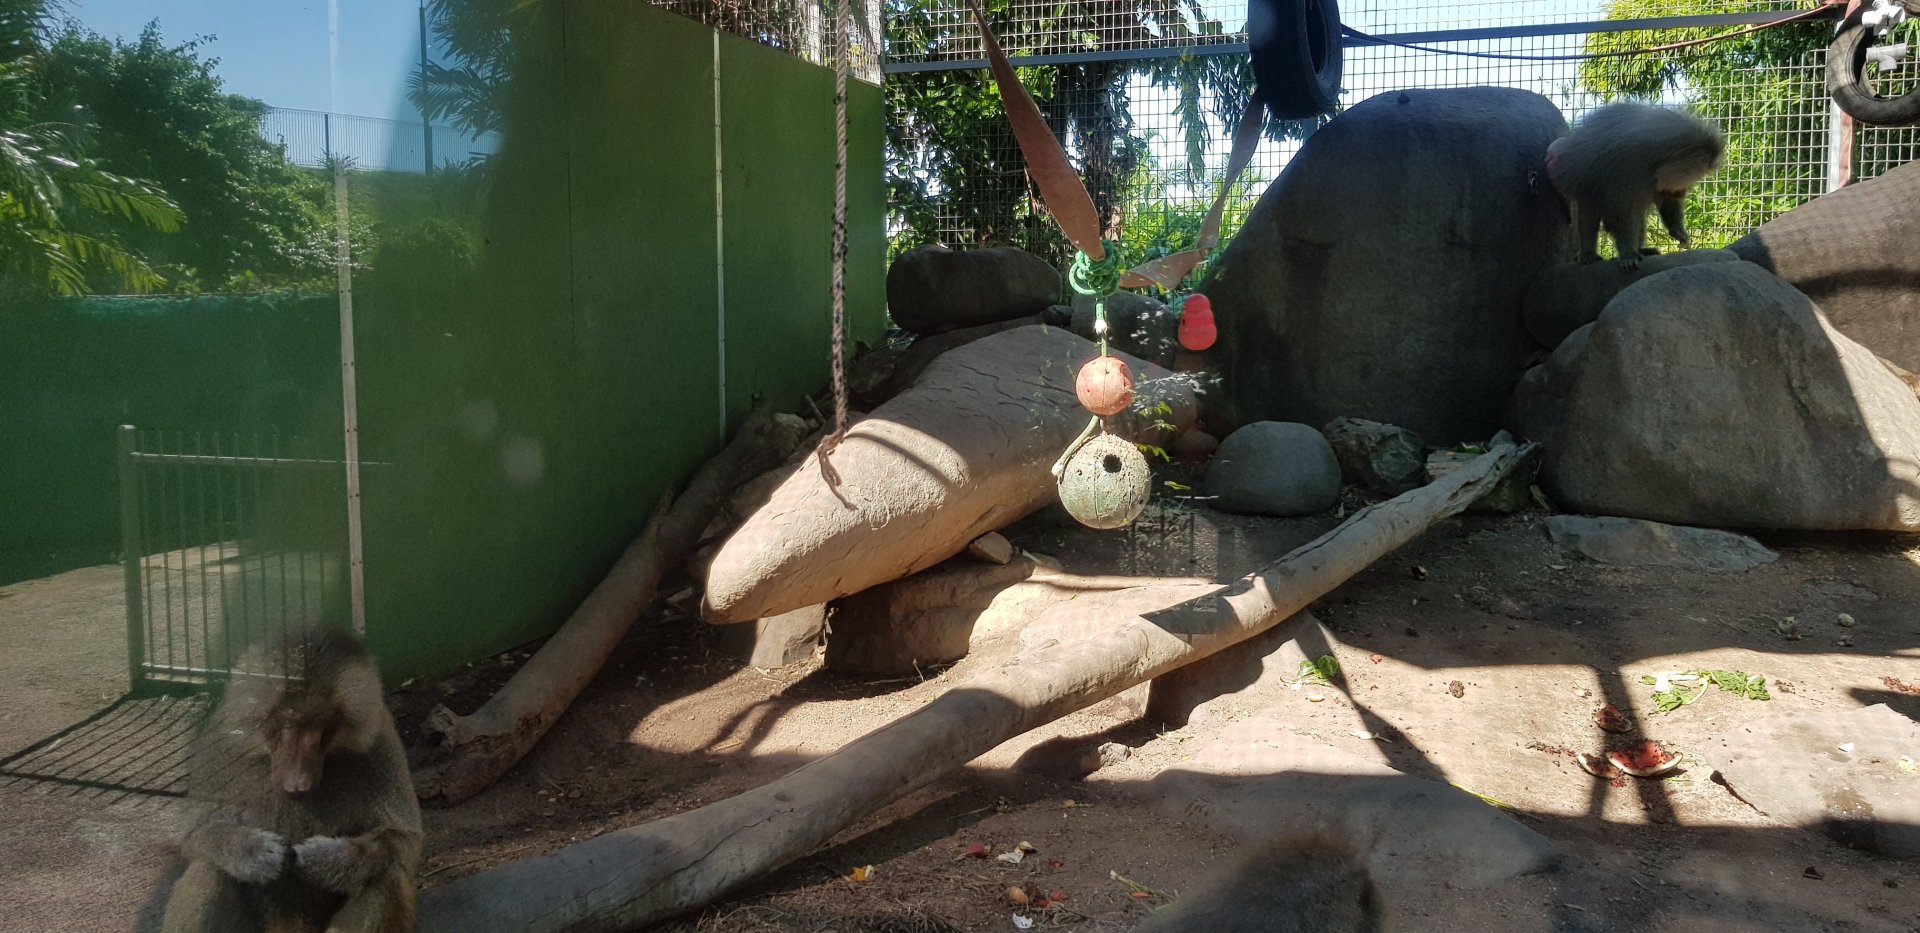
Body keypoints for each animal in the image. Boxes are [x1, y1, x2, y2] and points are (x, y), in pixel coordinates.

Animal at [160, 624, 422, 933]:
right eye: (286, 723)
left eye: (320, 727)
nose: (296, 785)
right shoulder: (220, 742)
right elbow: (195, 836)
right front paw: (255, 853)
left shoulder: (381, 743)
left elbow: (403, 840)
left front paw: (325, 860)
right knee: (208, 868)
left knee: (384, 875)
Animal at [1545, 101, 1725, 270]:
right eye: (1695, 177)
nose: (1682, 192)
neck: (1655, 159)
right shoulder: (1628, 170)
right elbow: (1620, 214)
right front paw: (1628, 256)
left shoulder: (1656, 181)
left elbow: (1665, 201)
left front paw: (1679, 233)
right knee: (1590, 215)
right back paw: (1588, 257)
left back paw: (1642, 250)